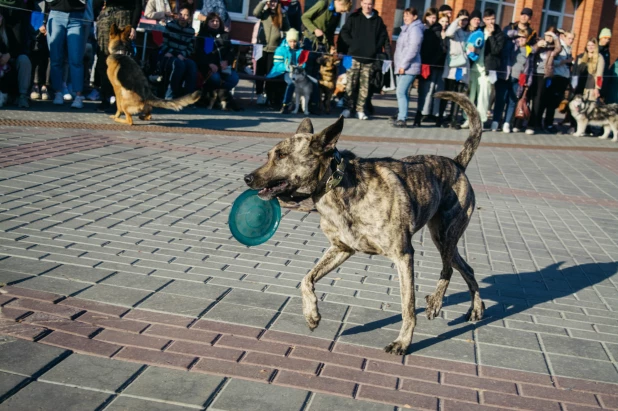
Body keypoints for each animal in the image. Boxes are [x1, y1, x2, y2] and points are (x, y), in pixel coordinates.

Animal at [243, 91, 484, 356]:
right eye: (269, 155)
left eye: (282, 155)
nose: (247, 178)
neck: (336, 186)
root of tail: (457, 163)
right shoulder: (341, 249)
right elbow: (306, 279)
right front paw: (311, 314)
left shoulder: (403, 255)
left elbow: (407, 306)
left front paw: (403, 342)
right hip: (444, 238)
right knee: (466, 268)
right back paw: (476, 308)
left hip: (444, 234)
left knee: (448, 269)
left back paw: (436, 303)